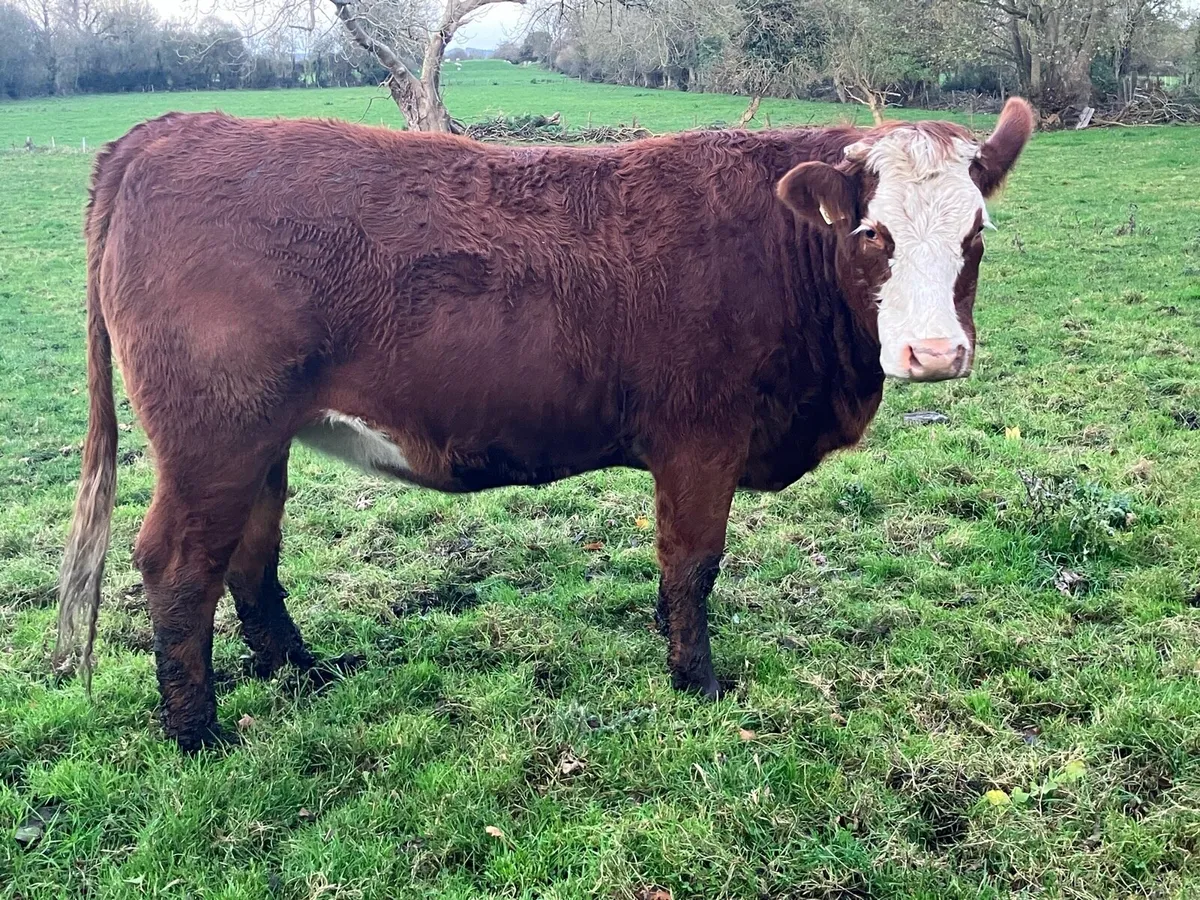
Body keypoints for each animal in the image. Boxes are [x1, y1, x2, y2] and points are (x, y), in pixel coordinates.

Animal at [54, 99, 1034, 750]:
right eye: (872, 234)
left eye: (976, 234)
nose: (934, 354)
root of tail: (170, 128)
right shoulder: (700, 442)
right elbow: (694, 563)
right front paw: (698, 680)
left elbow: (678, 571)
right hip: (213, 439)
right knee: (180, 564)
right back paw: (198, 734)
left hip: (259, 440)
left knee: (251, 553)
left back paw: (300, 669)